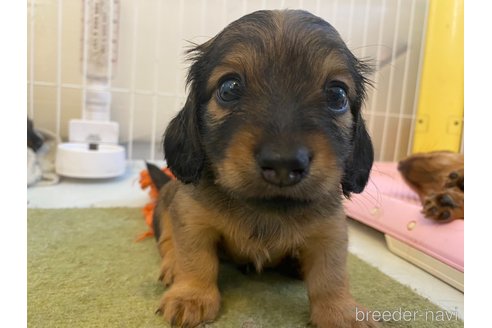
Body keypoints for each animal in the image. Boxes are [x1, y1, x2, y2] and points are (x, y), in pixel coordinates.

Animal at [152, 10, 374, 328]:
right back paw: (171, 267)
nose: (284, 163)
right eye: (229, 88)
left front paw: (340, 311)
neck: (266, 212)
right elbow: (195, 259)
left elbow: (331, 275)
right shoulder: (192, 219)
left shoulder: (330, 231)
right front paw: (191, 296)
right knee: (168, 241)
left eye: (337, 95)